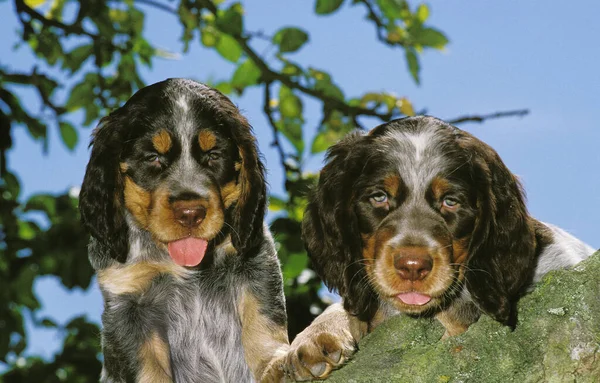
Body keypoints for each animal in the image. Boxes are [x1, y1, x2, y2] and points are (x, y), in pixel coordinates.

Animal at [80, 79, 290, 383]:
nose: (191, 213)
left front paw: (277, 362)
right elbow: (147, 369)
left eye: (214, 155)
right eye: (153, 157)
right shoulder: (127, 304)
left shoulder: (255, 260)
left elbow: (263, 322)